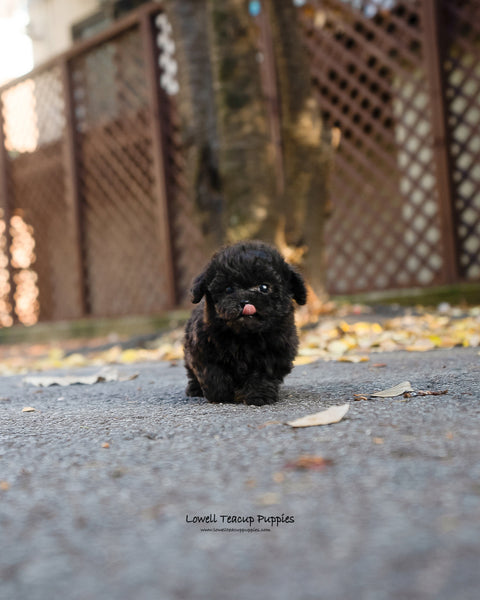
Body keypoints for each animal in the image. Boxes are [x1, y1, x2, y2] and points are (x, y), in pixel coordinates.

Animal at [184, 241, 308, 406]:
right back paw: (194, 389)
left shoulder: (274, 354)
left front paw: (259, 396)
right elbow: (213, 373)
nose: (245, 301)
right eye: (229, 289)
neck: (245, 335)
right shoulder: (202, 350)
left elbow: (262, 375)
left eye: (264, 287)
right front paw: (221, 394)